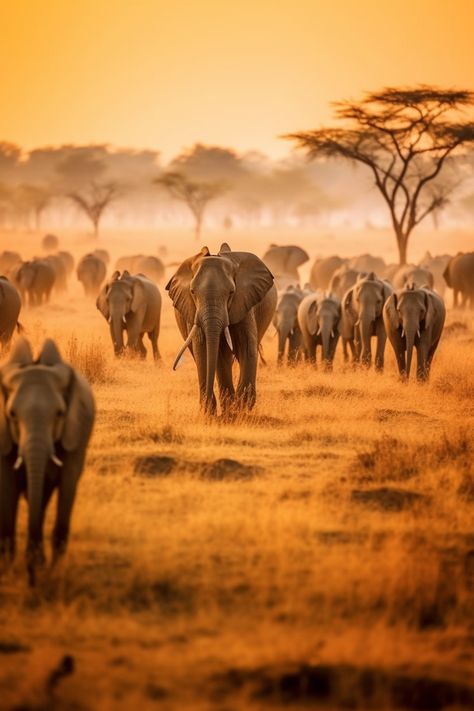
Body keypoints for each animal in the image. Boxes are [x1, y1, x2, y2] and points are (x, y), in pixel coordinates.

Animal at [0, 340, 95, 584]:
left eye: (60, 414)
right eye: (11, 414)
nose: (32, 575)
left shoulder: (75, 433)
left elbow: (68, 483)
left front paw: (52, 573)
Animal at [168, 245, 276, 414]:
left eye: (231, 292)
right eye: (192, 292)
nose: (174, 368)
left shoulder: (244, 303)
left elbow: (246, 346)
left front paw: (242, 409)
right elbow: (203, 349)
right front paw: (209, 412)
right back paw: (227, 407)